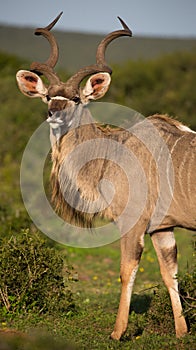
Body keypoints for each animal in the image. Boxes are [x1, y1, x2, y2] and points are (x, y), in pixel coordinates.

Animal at [16, 13, 195, 340]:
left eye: (76, 98)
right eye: (47, 96)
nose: (53, 113)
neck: (114, 152)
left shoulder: (133, 224)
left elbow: (126, 271)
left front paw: (117, 332)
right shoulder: (163, 229)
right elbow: (170, 273)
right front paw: (181, 332)